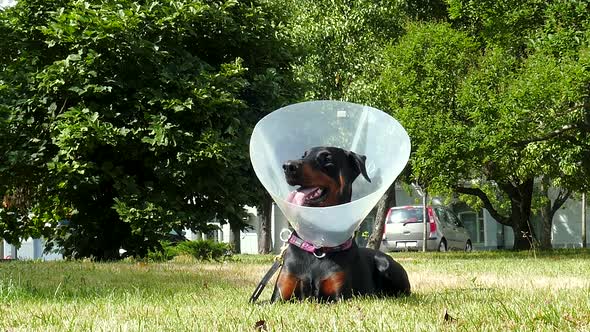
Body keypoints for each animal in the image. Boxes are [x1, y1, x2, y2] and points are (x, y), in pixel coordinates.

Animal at [272, 147, 412, 302]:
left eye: (327, 158)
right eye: (303, 155)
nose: (288, 166)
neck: (317, 246)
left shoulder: (339, 296)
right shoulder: (280, 296)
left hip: (385, 264)